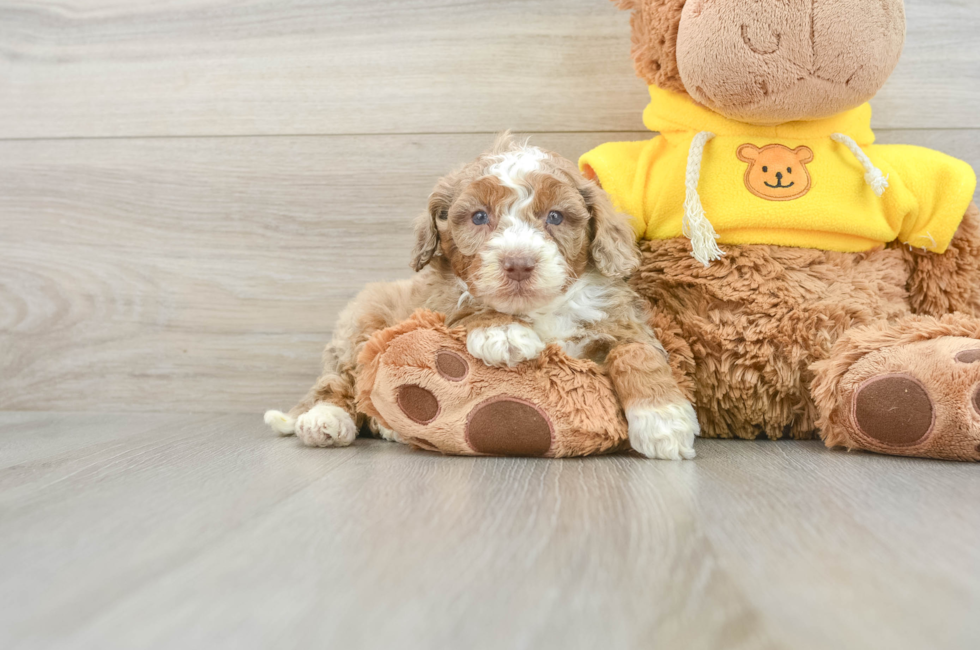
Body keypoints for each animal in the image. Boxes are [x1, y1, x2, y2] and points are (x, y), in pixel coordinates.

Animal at [264, 134, 700, 458]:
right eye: (478, 217)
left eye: (555, 217)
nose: (519, 263)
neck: (539, 310)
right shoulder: (435, 300)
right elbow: (467, 303)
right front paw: (503, 332)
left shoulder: (621, 317)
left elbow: (637, 353)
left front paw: (664, 422)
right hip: (361, 323)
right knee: (339, 381)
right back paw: (324, 419)